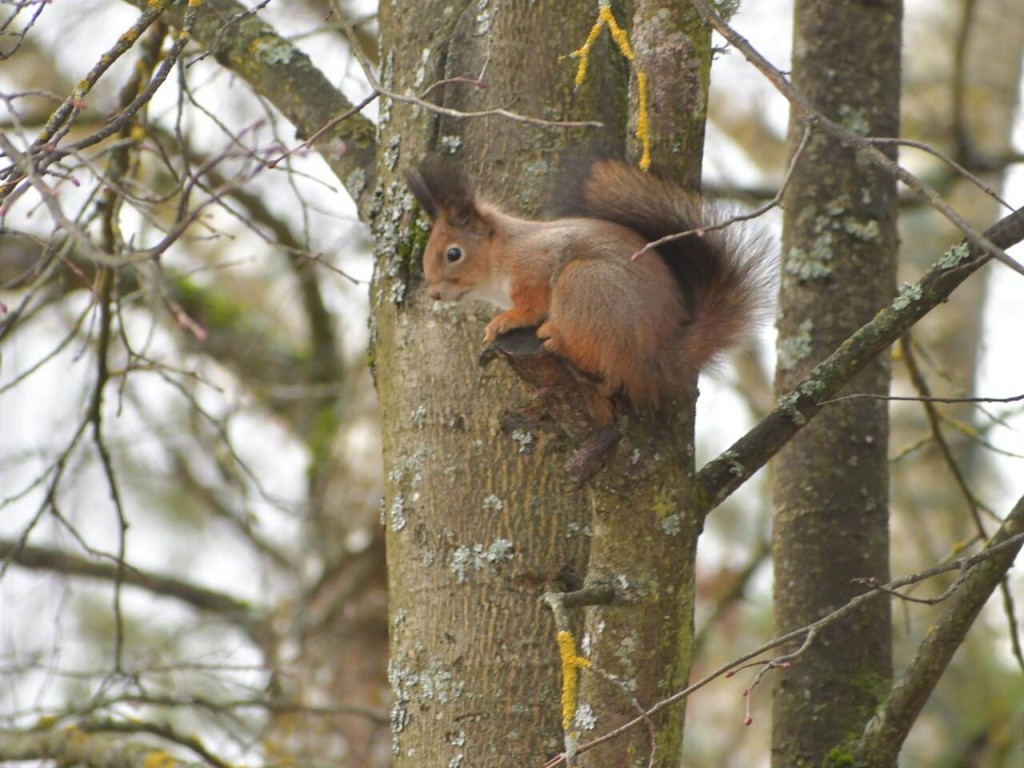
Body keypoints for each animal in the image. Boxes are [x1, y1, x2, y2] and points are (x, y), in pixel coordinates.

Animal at [403, 157, 770, 428]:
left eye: (453, 254)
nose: (434, 294)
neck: (501, 254)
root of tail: (658, 351)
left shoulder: (534, 270)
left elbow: (530, 307)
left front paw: (503, 321)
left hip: (581, 284)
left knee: (601, 359)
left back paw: (558, 338)